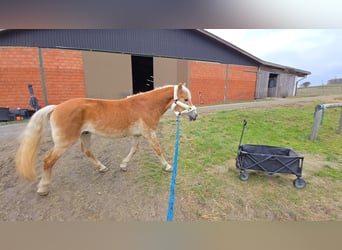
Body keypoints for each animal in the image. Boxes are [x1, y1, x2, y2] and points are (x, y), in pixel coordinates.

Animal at [16, 82, 196, 195]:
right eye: (186, 99)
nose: (194, 115)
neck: (145, 105)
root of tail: (57, 107)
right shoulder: (149, 133)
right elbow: (157, 149)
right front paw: (168, 167)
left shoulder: (137, 135)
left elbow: (134, 150)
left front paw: (123, 165)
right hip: (63, 143)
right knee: (48, 161)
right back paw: (43, 188)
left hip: (85, 135)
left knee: (87, 151)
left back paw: (101, 167)